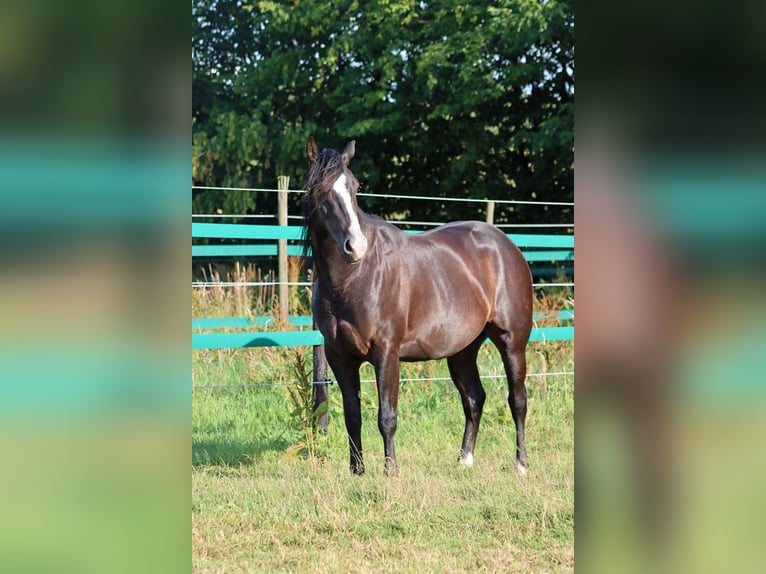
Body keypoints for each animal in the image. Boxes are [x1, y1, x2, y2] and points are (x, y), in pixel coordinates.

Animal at [302, 137, 533, 476]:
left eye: (354, 187)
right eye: (320, 189)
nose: (355, 247)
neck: (354, 278)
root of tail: (506, 245)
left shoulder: (386, 353)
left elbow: (387, 416)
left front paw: (391, 472)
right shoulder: (339, 356)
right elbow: (352, 416)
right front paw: (357, 471)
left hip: (512, 342)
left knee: (517, 400)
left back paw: (520, 463)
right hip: (463, 350)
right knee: (474, 398)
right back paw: (464, 460)